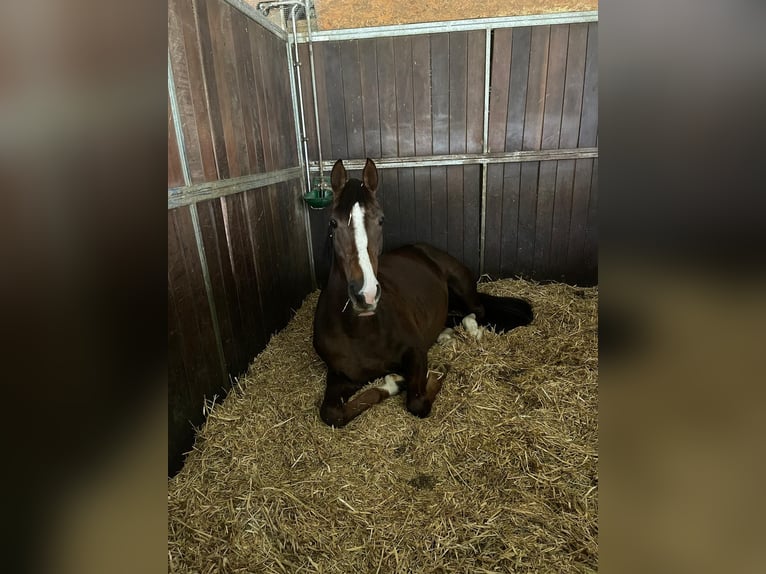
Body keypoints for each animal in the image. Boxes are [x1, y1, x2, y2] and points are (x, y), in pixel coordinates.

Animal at [312, 158, 536, 428]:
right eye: (333, 222)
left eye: (381, 220)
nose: (365, 295)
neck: (360, 331)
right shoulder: (340, 376)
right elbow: (331, 414)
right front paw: (392, 383)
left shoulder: (416, 353)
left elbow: (417, 402)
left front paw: (436, 374)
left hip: (461, 284)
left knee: (476, 311)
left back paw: (471, 330)